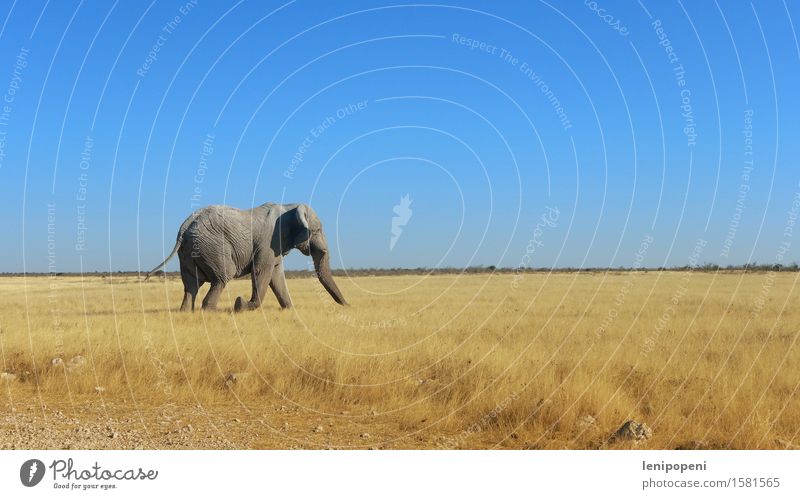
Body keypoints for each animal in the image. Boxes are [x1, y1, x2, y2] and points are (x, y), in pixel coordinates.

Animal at [145, 203, 346, 312]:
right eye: (317, 230)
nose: (347, 305)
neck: (289, 206)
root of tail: (184, 227)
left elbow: (276, 277)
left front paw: (290, 310)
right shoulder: (269, 242)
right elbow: (262, 272)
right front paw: (241, 305)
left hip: (190, 251)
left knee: (191, 284)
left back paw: (187, 313)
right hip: (212, 246)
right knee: (222, 277)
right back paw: (211, 312)